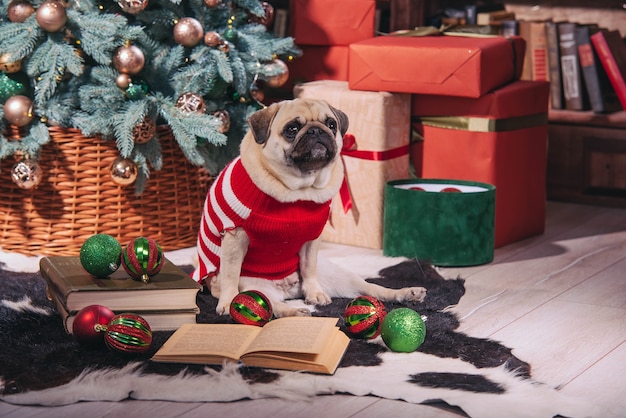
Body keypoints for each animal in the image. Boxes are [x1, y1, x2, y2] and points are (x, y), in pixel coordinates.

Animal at [193, 98, 422, 316]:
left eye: (331, 124)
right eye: (292, 129)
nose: (316, 130)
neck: (300, 189)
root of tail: (288, 291)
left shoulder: (312, 238)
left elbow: (309, 267)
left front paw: (315, 293)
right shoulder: (234, 236)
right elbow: (230, 274)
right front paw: (227, 302)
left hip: (340, 276)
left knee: (371, 288)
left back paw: (406, 293)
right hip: (253, 287)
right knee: (269, 305)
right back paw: (296, 312)